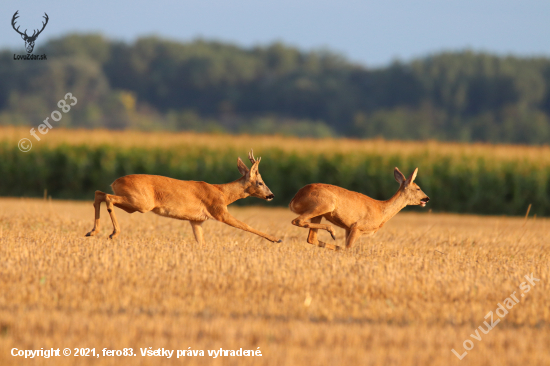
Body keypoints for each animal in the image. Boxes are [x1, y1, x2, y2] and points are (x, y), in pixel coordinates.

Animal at [89, 149, 284, 246]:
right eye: (260, 182)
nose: (271, 195)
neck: (222, 193)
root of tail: (115, 181)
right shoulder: (219, 211)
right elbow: (246, 225)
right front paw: (276, 239)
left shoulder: (196, 220)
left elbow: (201, 242)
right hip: (141, 203)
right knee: (107, 197)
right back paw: (113, 233)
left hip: (133, 203)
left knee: (99, 194)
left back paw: (92, 231)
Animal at [288, 167, 432, 250]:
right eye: (418, 188)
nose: (427, 198)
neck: (382, 210)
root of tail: (294, 199)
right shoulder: (357, 226)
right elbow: (349, 248)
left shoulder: (348, 228)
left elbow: (347, 247)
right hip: (325, 204)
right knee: (297, 221)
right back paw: (332, 231)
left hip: (319, 213)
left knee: (311, 238)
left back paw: (335, 244)